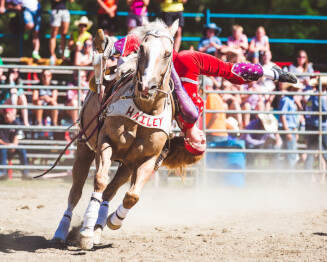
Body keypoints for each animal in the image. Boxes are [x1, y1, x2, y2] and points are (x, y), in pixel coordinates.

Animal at [53, 20, 202, 250]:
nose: (146, 86)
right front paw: (86, 232)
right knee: (76, 192)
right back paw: (63, 231)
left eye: (168, 53)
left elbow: (132, 196)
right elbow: (99, 180)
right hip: (84, 148)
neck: (144, 110)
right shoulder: (105, 144)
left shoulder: (148, 160)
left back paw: (99, 227)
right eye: (141, 49)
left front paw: (112, 221)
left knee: (111, 192)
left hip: (126, 165)